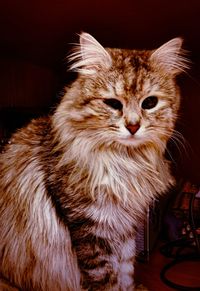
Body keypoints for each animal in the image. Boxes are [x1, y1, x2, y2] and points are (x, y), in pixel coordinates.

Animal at [0, 33, 188, 290]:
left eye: (149, 103)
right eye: (113, 103)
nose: (133, 126)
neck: (126, 161)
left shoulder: (125, 229)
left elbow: (126, 271)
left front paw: (131, 287)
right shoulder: (91, 230)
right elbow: (106, 280)